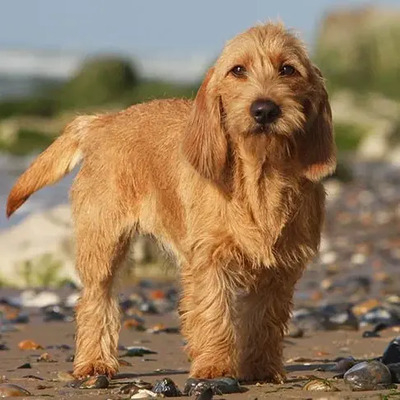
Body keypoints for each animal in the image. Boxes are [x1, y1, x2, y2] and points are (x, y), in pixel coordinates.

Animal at [7, 22, 336, 384]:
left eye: (287, 69)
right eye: (238, 70)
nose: (264, 109)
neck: (259, 178)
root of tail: (104, 122)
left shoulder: (279, 270)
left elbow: (265, 321)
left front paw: (261, 368)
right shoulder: (209, 262)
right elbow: (214, 313)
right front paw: (215, 366)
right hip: (102, 245)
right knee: (96, 301)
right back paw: (95, 362)